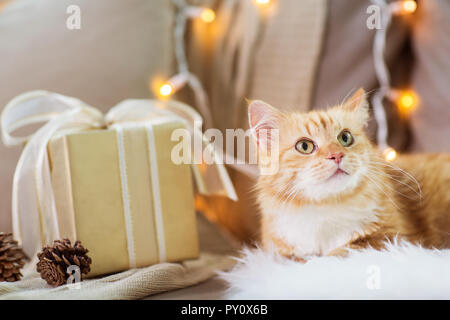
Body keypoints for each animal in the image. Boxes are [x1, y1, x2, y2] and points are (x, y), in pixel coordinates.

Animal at [248, 89, 450, 262]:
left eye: (345, 138)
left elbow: (341, 251)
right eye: (304, 146)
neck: (326, 209)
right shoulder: (280, 251)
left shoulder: (392, 236)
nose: (336, 155)